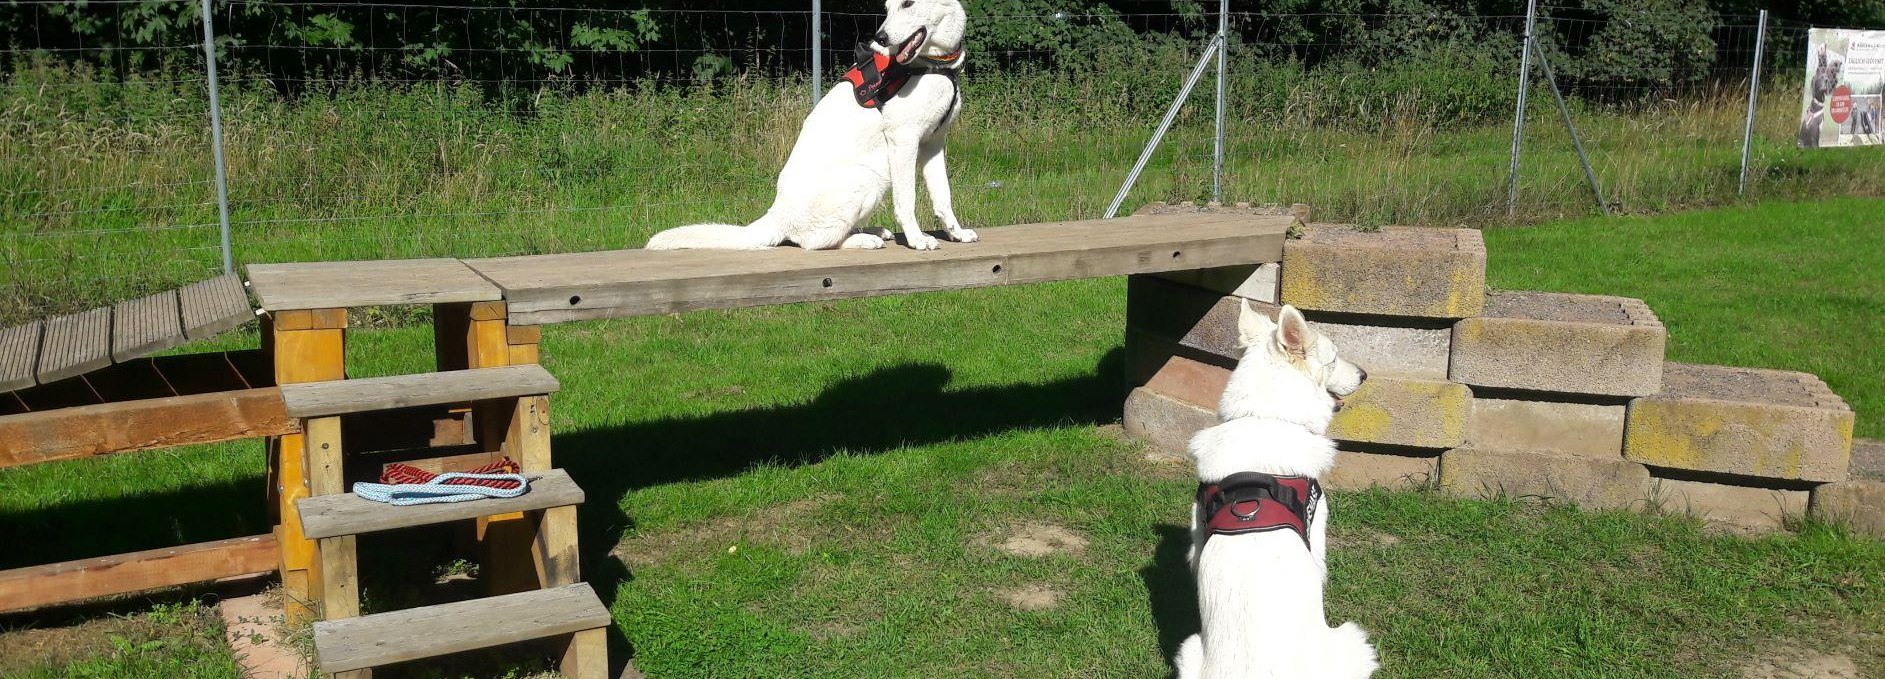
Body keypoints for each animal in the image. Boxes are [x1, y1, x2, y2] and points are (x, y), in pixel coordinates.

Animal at [644, 0, 972, 250]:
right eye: (888, 8)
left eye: (907, 4)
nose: (880, 38)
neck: (934, 64)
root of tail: (777, 216)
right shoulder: (904, 141)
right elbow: (907, 201)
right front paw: (917, 240)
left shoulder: (933, 144)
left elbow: (943, 196)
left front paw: (956, 233)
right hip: (868, 178)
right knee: (814, 242)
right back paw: (864, 240)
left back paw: (872, 231)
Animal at [1183, 301, 1379, 679]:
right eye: (1334, 358)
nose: (1364, 375)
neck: (1264, 416)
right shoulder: (1317, 526)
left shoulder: (1197, 532)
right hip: (1354, 640)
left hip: (1188, 651)